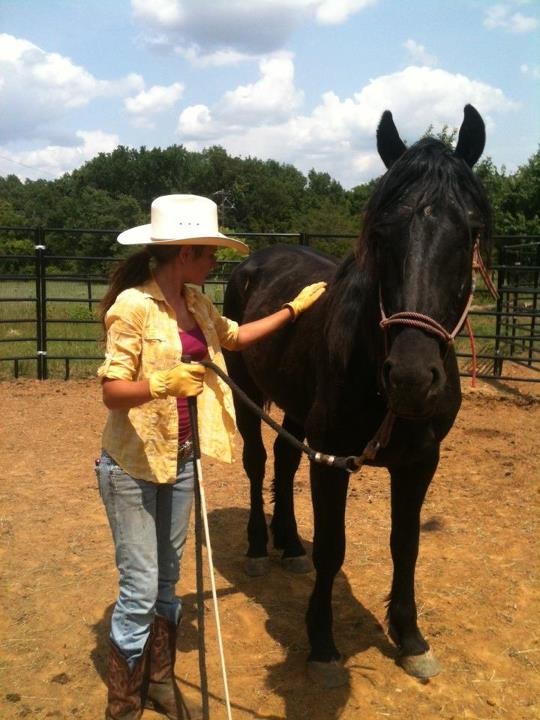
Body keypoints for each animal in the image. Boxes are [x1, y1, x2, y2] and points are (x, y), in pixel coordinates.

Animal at [221, 105, 492, 688]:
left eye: (470, 232)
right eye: (382, 232)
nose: (411, 377)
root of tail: (256, 261)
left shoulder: (420, 462)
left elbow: (406, 545)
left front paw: (410, 638)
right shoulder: (332, 459)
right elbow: (332, 548)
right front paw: (322, 644)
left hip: (296, 409)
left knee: (283, 462)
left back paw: (288, 544)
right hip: (246, 389)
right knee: (257, 463)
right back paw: (257, 547)